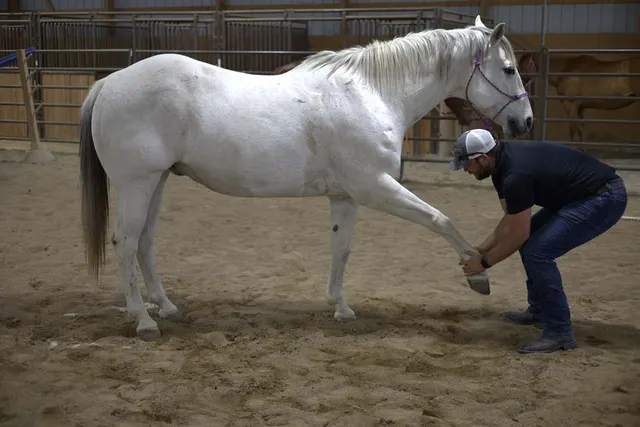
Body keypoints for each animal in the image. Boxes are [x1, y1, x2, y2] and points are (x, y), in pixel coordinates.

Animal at [79, 16, 532, 340]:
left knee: (145, 242)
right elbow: (441, 219)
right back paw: (144, 320)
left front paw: (341, 307)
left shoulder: (346, 196)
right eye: (509, 69)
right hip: (137, 184)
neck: (371, 94)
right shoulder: (375, 188)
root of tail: (108, 82)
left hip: (157, 182)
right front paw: (477, 273)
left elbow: (342, 249)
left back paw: (167, 307)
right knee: (125, 243)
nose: (525, 122)